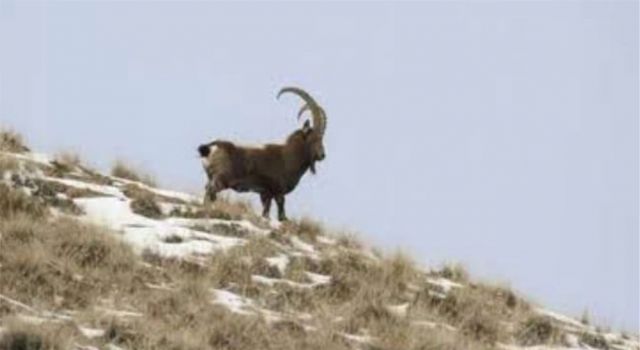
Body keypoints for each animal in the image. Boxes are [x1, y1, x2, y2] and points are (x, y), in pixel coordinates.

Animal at [198, 86, 328, 220]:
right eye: (315, 138)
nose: (322, 155)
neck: (288, 157)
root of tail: (212, 147)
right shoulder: (277, 190)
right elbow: (281, 209)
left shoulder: (265, 193)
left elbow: (266, 211)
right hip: (222, 179)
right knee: (210, 191)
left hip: (211, 177)